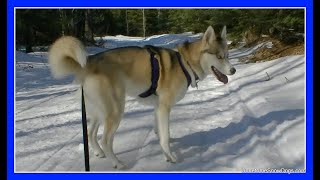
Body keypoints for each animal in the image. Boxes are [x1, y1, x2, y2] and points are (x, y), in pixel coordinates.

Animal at [48, 25, 236, 169]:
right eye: (219, 57)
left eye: (227, 55)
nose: (233, 70)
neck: (185, 62)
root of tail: (89, 62)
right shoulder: (164, 107)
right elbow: (165, 136)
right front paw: (170, 157)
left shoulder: (158, 108)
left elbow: (161, 132)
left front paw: (164, 147)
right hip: (115, 111)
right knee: (105, 140)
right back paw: (117, 163)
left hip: (99, 112)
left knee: (90, 133)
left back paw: (98, 153)